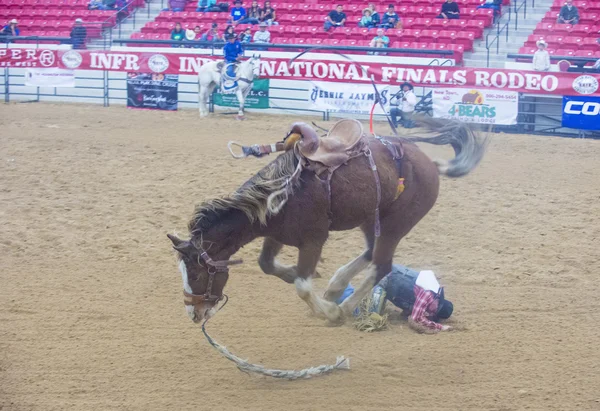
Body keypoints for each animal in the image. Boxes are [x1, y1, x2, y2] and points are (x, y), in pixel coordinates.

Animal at [169, 117, 488, 326]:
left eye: (195, 274)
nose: (193, 314)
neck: (284, 191)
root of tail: (428, 162)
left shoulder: (313, 240)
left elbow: (302, 285)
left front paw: (328, 312)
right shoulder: (276, 234)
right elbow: (267, 265)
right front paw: (298, 276)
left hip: (397, 224)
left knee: (382, 264)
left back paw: (343, 307)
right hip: (371, 219)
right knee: (371, 253)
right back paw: (336, 287)